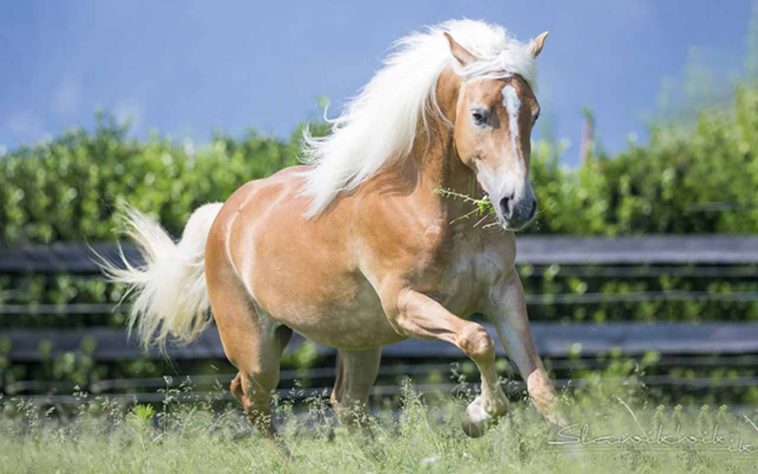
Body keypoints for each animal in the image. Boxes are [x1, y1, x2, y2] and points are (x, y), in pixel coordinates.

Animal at [103, 19, 565, 438]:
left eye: (535, 114)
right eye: (479, 114)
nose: (518, 205)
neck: (423, 207)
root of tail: (224, 216)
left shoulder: (503, 292)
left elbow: (542, 387)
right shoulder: (405, 305)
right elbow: (477, 339)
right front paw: (477, 417)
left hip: (359, 339)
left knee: (346, 404)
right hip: (256, 348)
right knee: (252, 399)